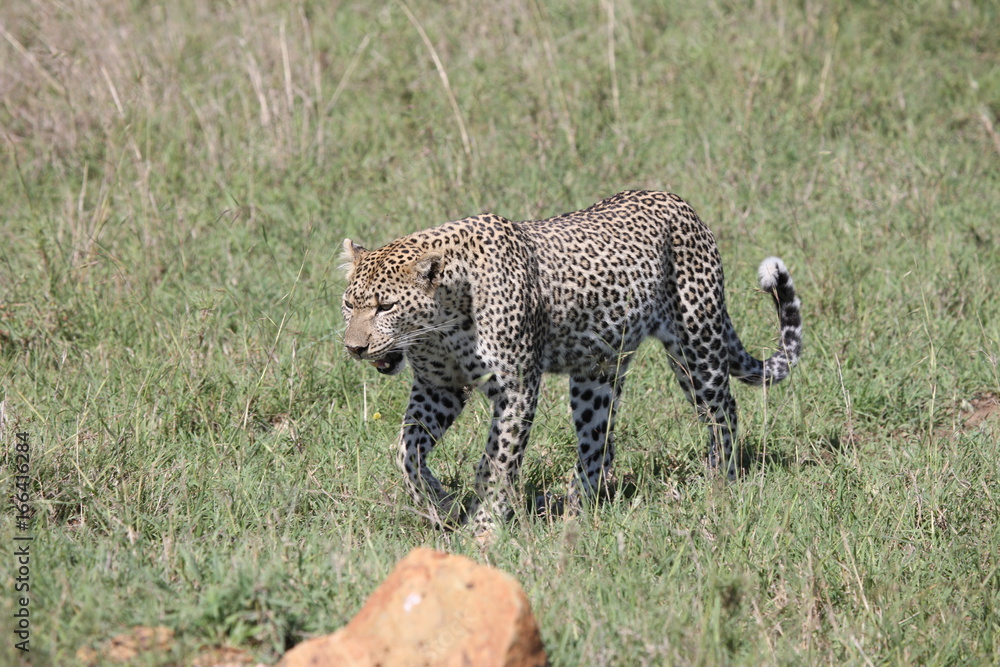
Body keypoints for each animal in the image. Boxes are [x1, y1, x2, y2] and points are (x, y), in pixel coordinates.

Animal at [340, 190, 802, 535]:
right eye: (349, 304)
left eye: (385, 306)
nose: (354, 348)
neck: (441, 325)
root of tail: (682, 204)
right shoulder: (440, 388)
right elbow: (407, 451)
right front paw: (440, 507)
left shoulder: (516, 389)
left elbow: (496, 464)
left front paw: (484, 529)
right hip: (596, 373)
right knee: (601, 445)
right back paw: (572, 508)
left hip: (696, 346)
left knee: (724, 410)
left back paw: (719, 483)